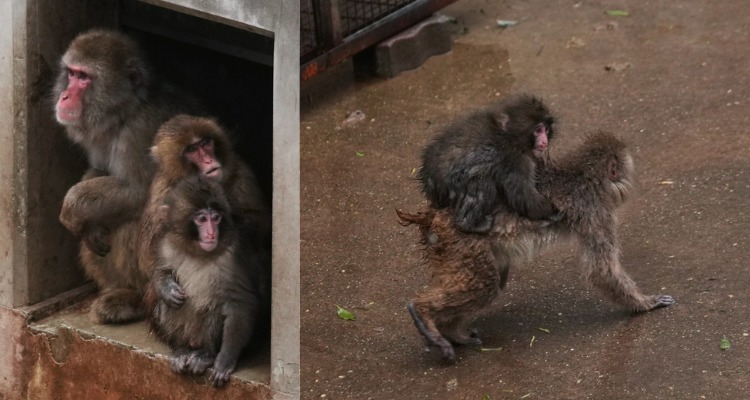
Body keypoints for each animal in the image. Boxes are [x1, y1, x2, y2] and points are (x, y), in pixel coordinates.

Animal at [53, 29, 201, 323]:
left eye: (84, 78)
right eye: (72, 73)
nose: (64, 96)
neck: (125, 113)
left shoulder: (141, 132)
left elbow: (141, 193)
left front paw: (72, 207)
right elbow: (99, 171)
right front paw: (90, 224)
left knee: (134, 220)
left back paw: (134, 299)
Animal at [138, 114, 270, 276]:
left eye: (205, 143)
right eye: (192, 149)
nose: (208, 160)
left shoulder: (240, 172)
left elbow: (262, 223)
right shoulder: (162, 191)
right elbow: (148, 258)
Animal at [145, 175, 270, 387]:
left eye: (216, 218)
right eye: (202, 219)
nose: (212, 233)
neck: (198, 252)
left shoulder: (233, 255)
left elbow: (240, 302)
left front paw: (225, 359)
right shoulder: (167, 244)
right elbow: (159, 271)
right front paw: (167, 288)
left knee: (214, 308)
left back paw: (206, 354)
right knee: (168, 306)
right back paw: (181, 350)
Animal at [400, 131, 675, 361]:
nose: (630, 180)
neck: (582, 177)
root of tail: (433, 215)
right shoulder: (595, 211)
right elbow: (602, 271)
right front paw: (644, 303)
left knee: (493, 279)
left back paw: (451, 330)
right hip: (461, 242)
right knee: (485, 285)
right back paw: (424, 312)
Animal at [418, 94, 559, 233]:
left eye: (546, 129)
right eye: (538, 130)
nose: (544, 142)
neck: (508, 135)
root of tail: (429, 179)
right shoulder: (515, 159)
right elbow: (523, 195)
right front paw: (552, 212)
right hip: (452, 184)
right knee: (482, 184)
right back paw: (468, 224)